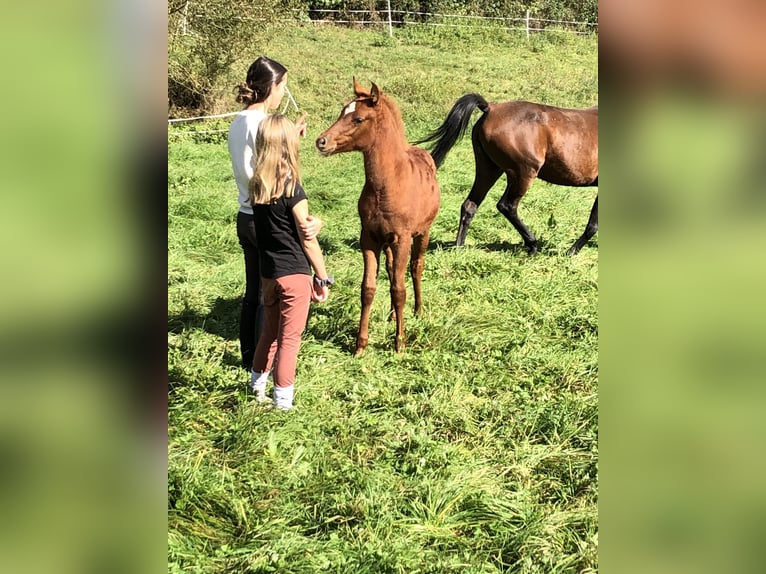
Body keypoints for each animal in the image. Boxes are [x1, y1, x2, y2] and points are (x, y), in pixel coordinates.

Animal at [316, 80, 438, 356]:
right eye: (341, 112)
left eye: (358, 119)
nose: (321, 141)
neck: (387, 185)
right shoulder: (369, 239)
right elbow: (369, 288)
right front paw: (360, 345)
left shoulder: (403, 238)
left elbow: (399, 289)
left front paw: (399, 343)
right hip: (387, 243)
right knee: (393, 270)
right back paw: (393, 315)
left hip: (421, 234)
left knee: (415, 268)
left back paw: (418, 310)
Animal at [416, 95, 596, 255]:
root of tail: (491, 108)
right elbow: (593, 225)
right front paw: (571, 252)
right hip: (523, 173)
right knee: (507, 206)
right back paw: (532, 244)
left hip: (488, 169)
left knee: (470, 205)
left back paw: (459, 248)